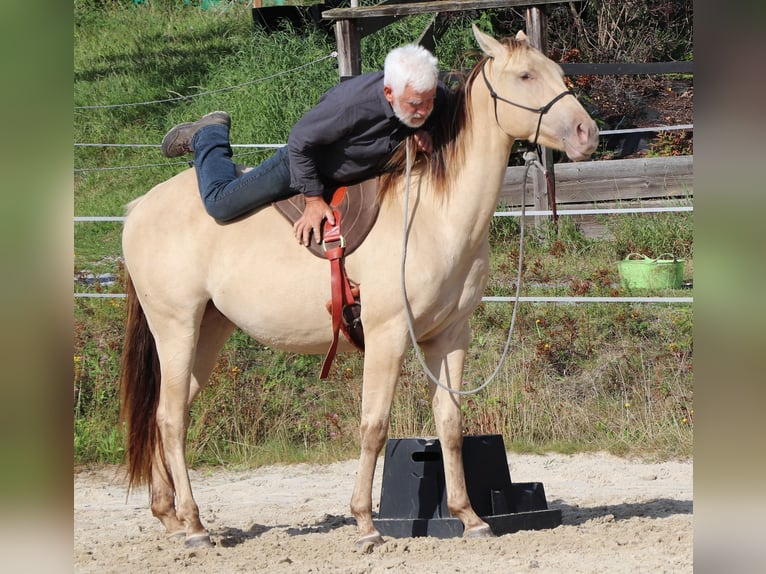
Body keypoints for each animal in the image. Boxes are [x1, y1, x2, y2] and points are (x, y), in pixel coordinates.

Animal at [119, 24, 598, 549]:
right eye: (526, 75)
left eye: (556, 69)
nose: (587, 133)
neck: (433, 215)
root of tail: (139, 207)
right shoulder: (387, 334)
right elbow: (374, 425)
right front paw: (366, 525)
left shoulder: (451, 336)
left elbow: (450, 424)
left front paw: (469, 518)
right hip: (176, 327)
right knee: (171, 419)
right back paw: (195, 527)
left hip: (208, 330)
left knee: (167, 412)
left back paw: (169, 514)